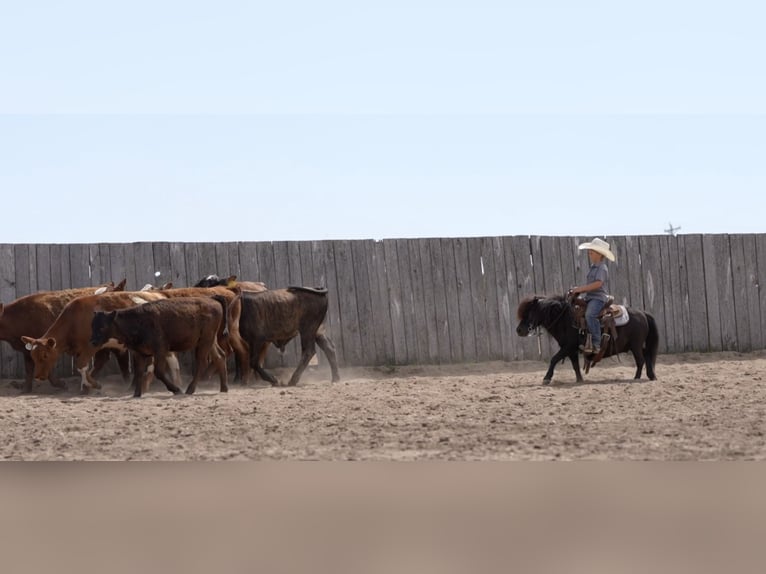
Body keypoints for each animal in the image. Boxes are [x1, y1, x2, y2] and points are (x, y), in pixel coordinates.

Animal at [515, 295, 659, 385]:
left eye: (529, 312)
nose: (519, 330)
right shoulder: (571, 350)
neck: (565, 319)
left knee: (640, 360)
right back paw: (651, 375)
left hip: (635, 345)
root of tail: (643, 313)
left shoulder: (568, 347)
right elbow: (575, 366)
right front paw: (579, 380)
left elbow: (554, 359)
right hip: (637, 346)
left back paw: (637, 378)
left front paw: (546, 378)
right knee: (647, 356)